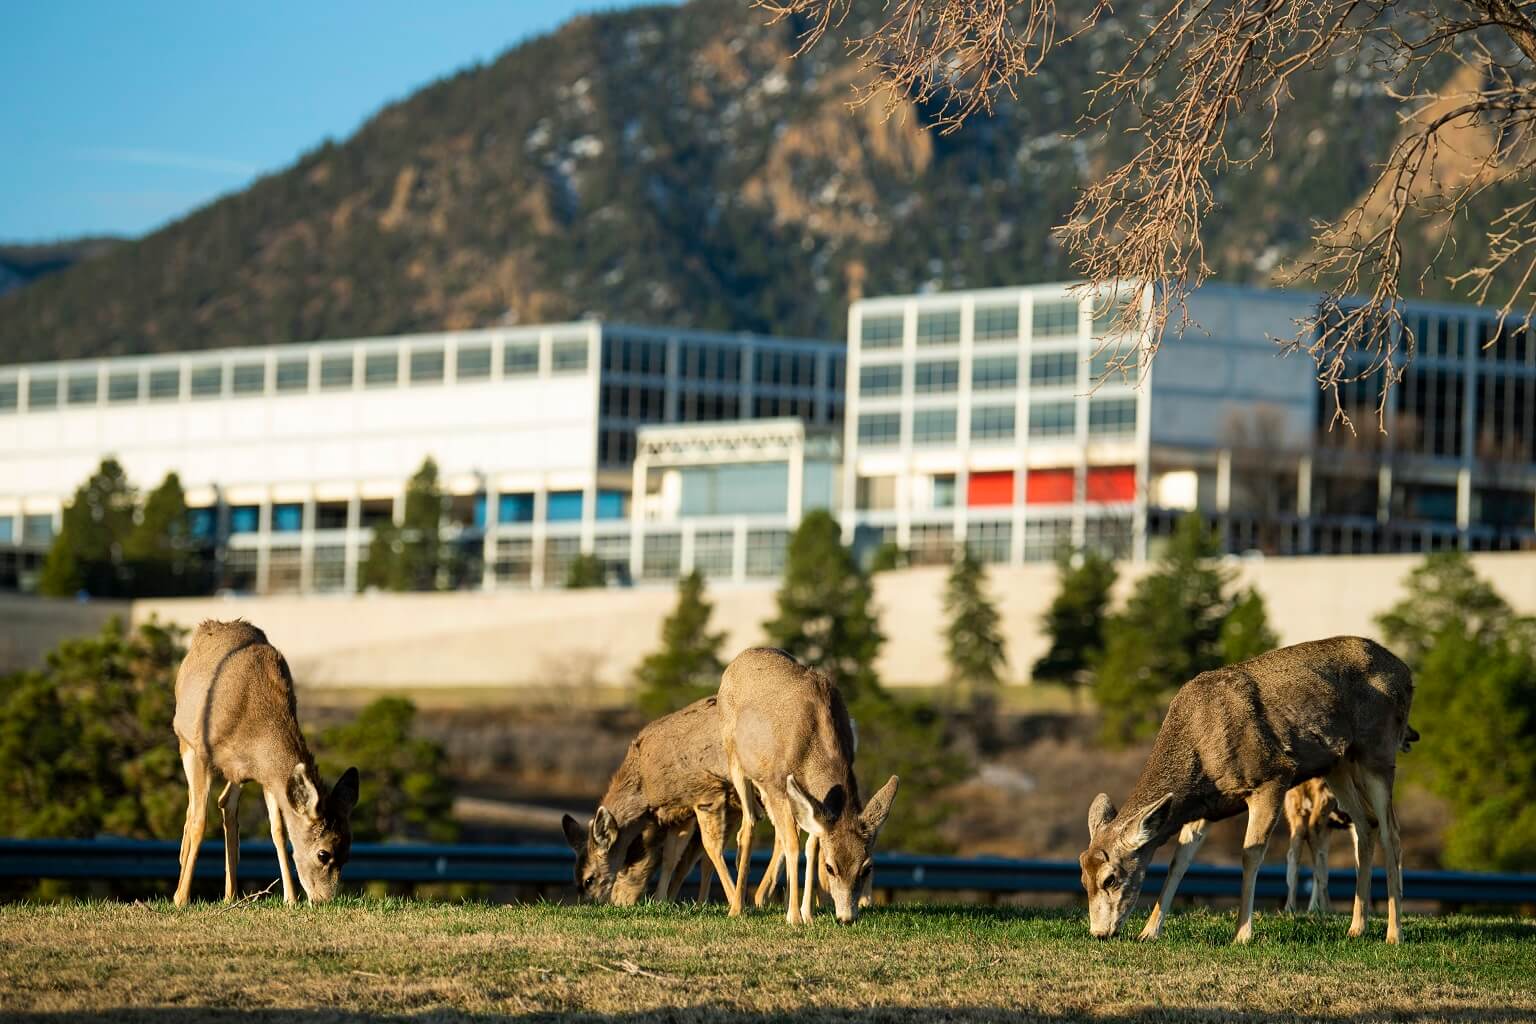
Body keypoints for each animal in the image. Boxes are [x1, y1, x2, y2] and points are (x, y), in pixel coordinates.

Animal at [171, 617, 359, 902]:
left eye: (348, 854)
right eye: (323, 853)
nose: (325, 900)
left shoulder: (268, 775)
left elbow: (278, 830)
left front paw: (291, 899)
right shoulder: (202, 752)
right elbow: (199, 822)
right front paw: (181, 898)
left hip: (237, 772)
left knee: (225, 805)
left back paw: (231, 895)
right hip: (185, 743)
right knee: (193, 810)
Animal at [562, 696, 740, 902]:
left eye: (589, 880)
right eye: (575, 881)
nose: (617, 903)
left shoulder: (703, 792)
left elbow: (704, 854)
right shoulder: (681, 810)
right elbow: (674, 858)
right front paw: (665, 900)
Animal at [718, 647, 897, 927]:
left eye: (867, 867)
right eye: (830, 868)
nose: (846, 918)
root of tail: (740, 657)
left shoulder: (815, 800)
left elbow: (812, 846)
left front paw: (808, 914)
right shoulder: (778, 784)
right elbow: (793, 844)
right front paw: (793, 917)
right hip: (736, 760)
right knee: (748, 826)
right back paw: (737, 907)